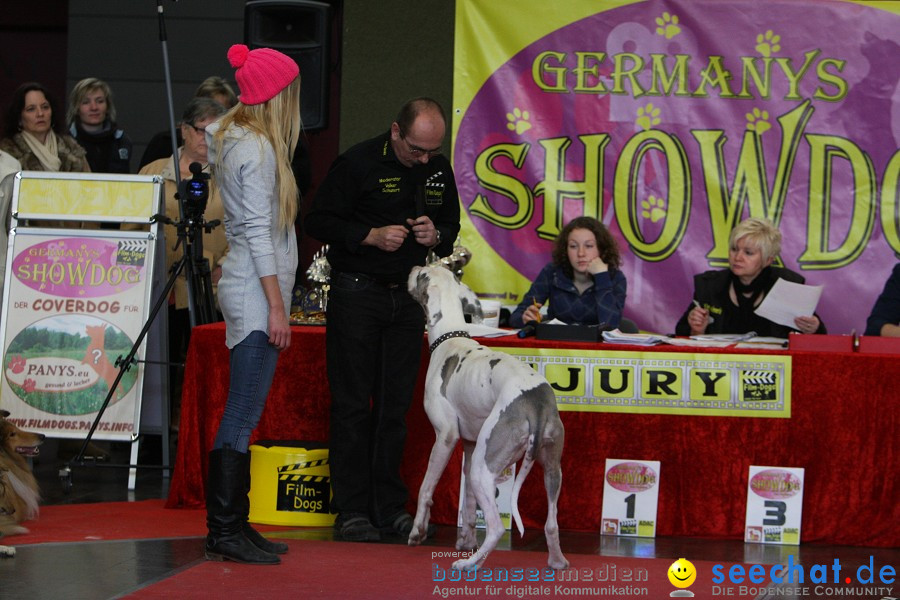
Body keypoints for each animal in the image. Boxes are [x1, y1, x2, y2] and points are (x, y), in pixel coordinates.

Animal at [410, 266, 568, 572]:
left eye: (422, 274)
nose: (412, 268)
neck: (450, 337)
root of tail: (535, 404)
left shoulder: (445, 438)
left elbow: (426, 487)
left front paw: (417, 532)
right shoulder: (471, 447)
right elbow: (470, 506)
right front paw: (466, 540)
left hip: (484, 469)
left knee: (496, 527)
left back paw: (469, 564)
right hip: (550, 469)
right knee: (552, 523)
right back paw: (556, 561)